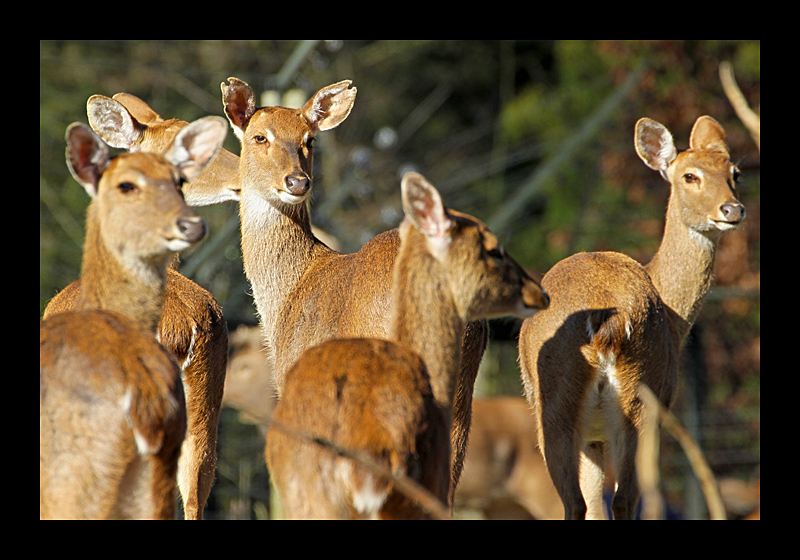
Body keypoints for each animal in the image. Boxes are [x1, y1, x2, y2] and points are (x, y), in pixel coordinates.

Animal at [516, 115, 748, 520]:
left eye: (735, 172)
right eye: (690, 176)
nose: (732, 210)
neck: (675, 317)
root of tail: (606, 326)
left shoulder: (594, 436)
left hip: (565, 407)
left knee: (582, 502)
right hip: (640, 402)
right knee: (620, 499)